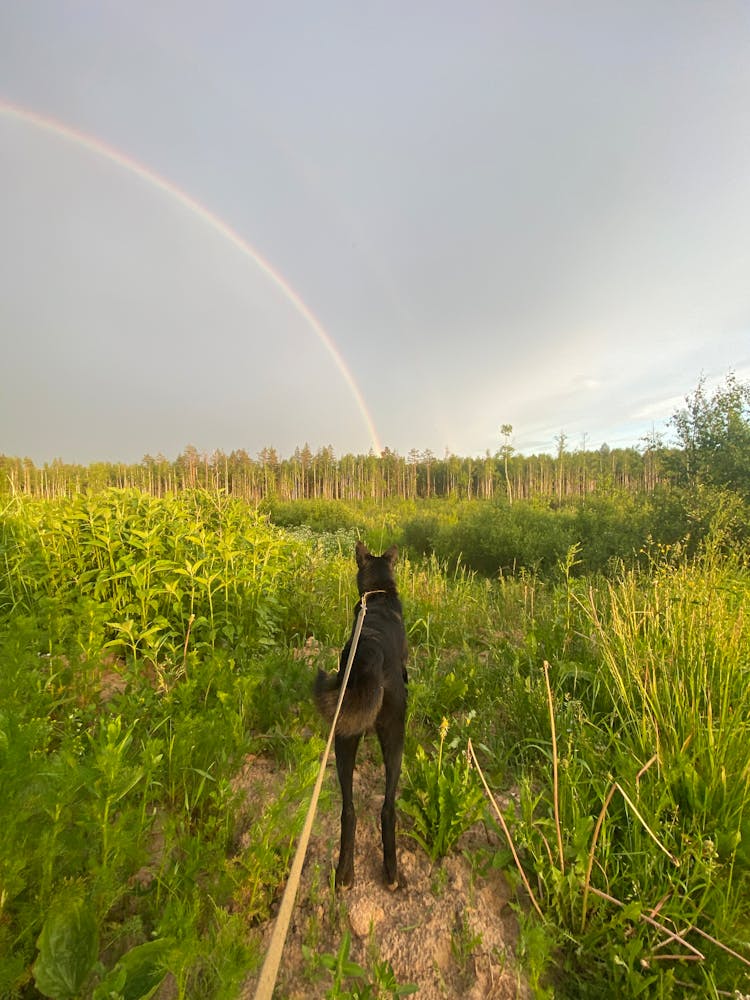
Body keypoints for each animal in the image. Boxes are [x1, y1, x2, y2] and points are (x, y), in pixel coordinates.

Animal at [314, 544, 408, 888]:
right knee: (387, 807)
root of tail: (370, 656)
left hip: (343, 735)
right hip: (395, 736)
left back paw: (344, 873)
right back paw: (392, 872)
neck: (377, 594)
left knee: (349, 810)